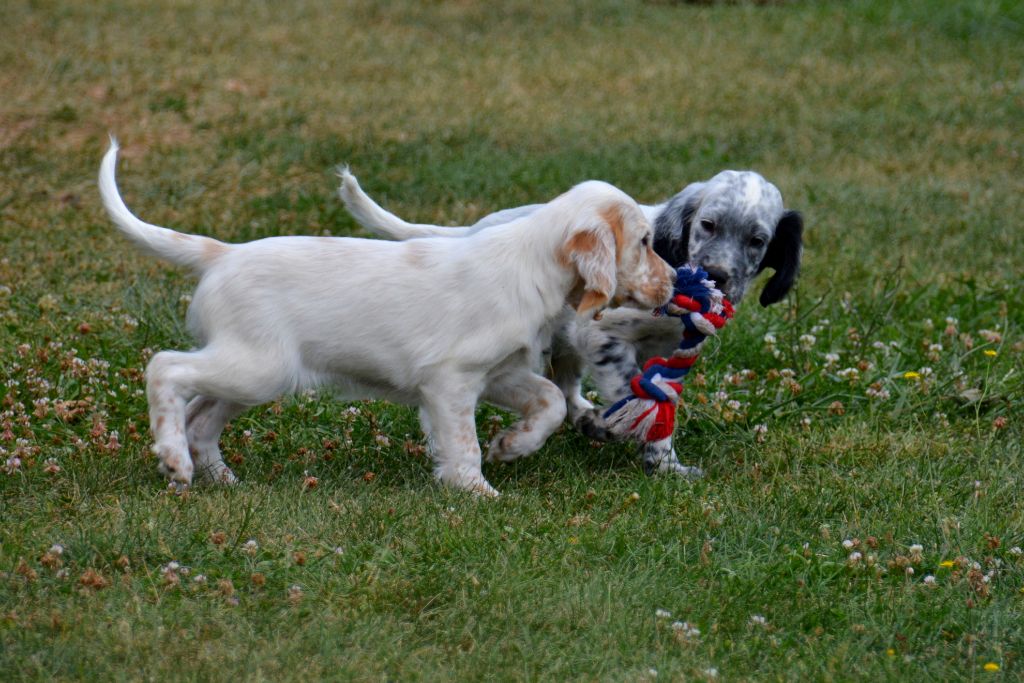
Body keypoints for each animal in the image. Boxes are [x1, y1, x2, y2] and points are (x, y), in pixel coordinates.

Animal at [94, 141, 671, 497]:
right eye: (646, 241)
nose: (674, 283)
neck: (532, 262)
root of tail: (222, 253)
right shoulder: (451, 380)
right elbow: (462, 443)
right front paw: (477, 490)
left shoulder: (500, 372)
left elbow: (550, 400)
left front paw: (513, 445)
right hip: (255, 366)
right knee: (165, 368)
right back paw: (174, 458)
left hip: (257, 374)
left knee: (201, 417)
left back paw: (214, 475)